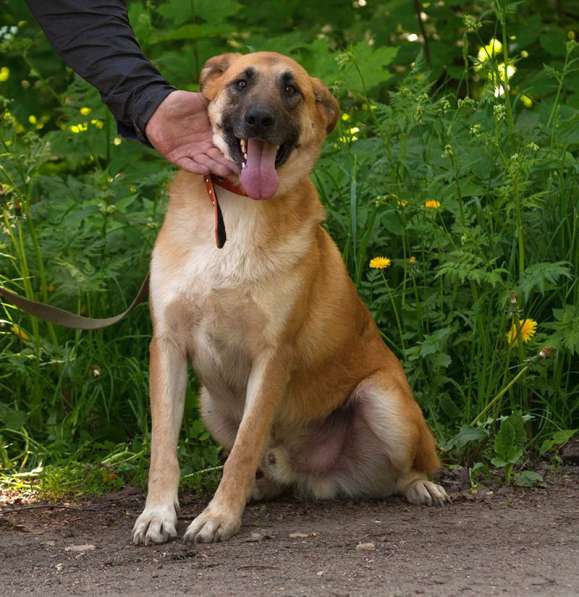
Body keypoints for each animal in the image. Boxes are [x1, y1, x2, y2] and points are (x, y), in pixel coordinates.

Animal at [133, 52, 448, 544]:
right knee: (272, 475)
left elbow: (244, 448)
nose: (260, 120)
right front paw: (158, 513)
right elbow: (163, 446)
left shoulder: (272, 356)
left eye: (291, 90)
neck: (239, 213)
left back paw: (421, 487)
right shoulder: (167, 345)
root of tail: (314, 477)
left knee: (405, 471)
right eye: (241, 83)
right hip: (210, 404)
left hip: (384, 398)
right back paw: (262, 489)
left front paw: (219, 516)